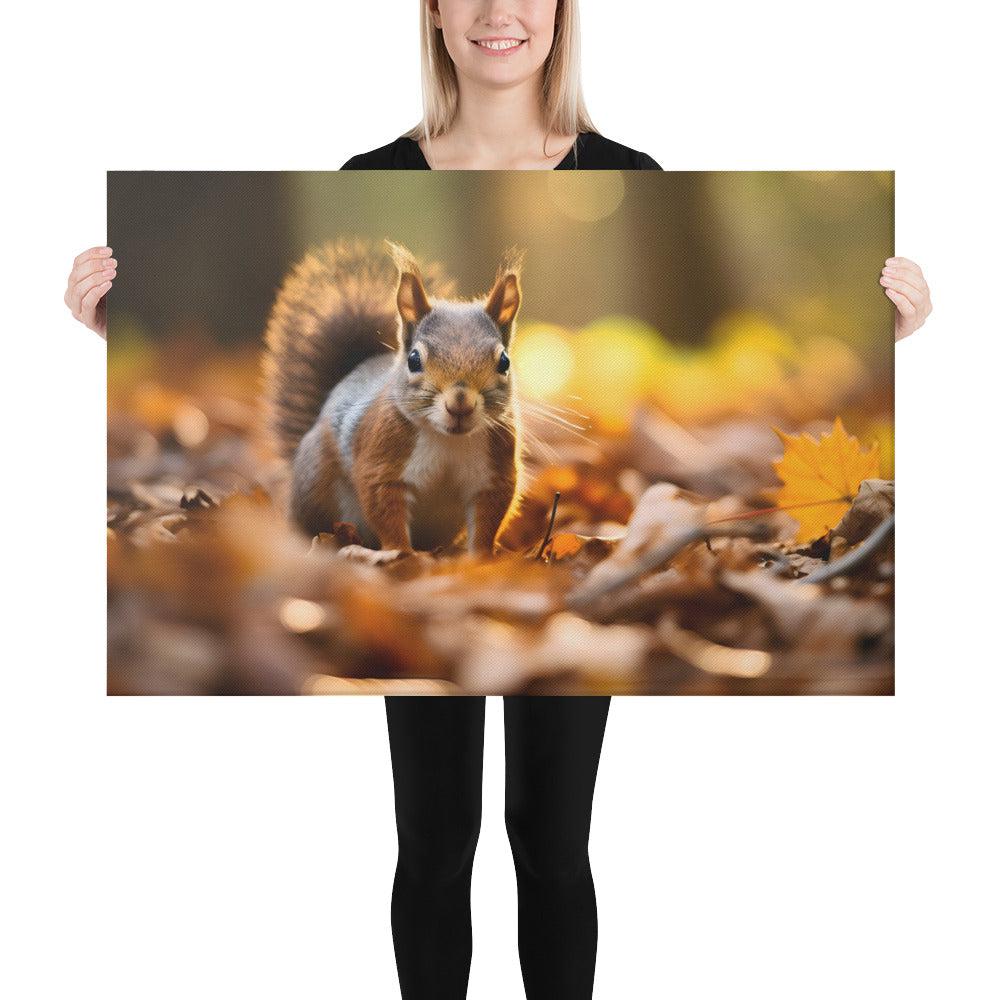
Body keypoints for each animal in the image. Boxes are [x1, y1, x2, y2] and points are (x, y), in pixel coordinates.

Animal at [262, 237, 525, 555]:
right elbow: (385, 511)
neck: (447, 440)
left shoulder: (493, 475)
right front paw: (402, 554)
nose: (459, 403)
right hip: (313, 485)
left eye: (504, 361)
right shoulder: (381, 463)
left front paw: (481, 558)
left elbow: (488, 521)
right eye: (414, 360)